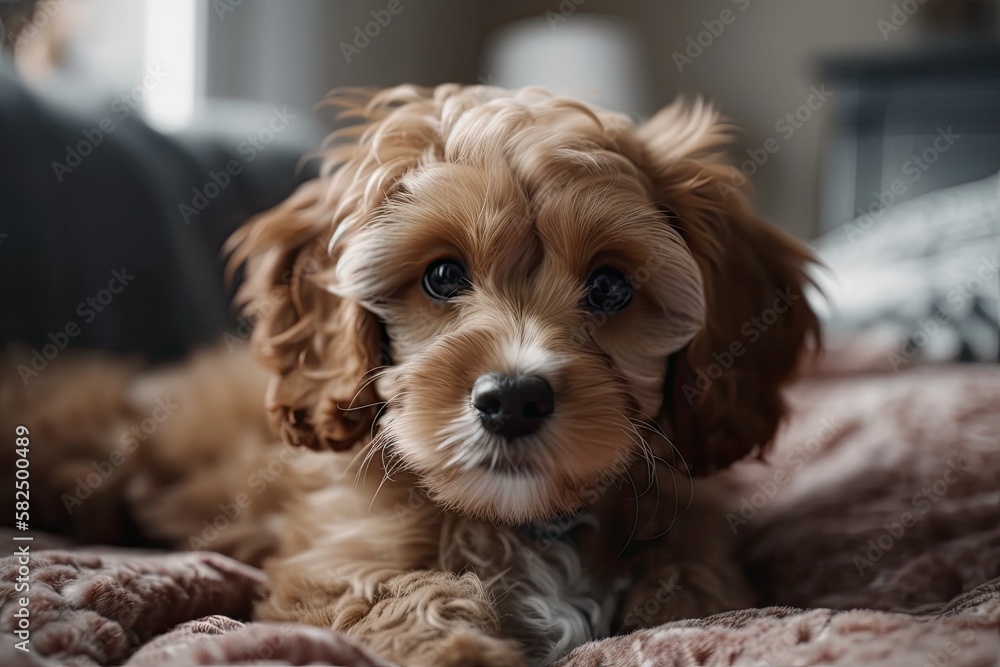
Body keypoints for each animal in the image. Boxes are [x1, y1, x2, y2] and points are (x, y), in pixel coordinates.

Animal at [229, 86, 820, 664]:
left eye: (610, 287)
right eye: (443, 275)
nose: (512, 401)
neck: (532, 523)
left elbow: (699, 594)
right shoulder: (331, 562)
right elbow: (397, 592)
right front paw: (465, 654)